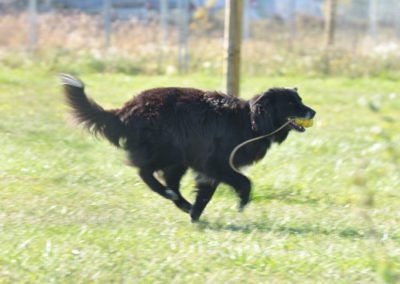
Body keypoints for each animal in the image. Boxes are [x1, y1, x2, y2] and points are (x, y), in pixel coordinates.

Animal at [60, 74, 316, 221]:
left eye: (300, 100)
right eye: (291, 103)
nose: (313, 112)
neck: (251, 119)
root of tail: (125, 110)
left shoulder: (208, 170)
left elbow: (205, 195)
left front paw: (195, 216)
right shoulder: (215, 163)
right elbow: (244, 182)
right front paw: (242, 203)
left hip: (178, 159)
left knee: (169, 182)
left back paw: (183, 204)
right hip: (167, 150)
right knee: (145, 173)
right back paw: (169, 194)